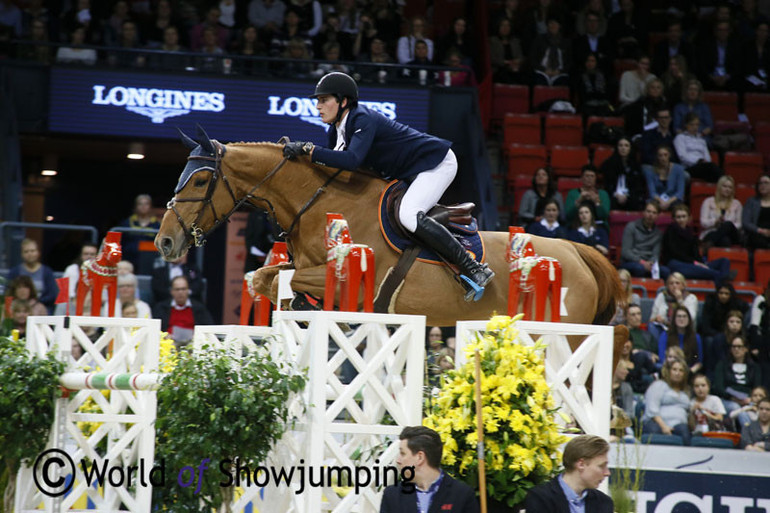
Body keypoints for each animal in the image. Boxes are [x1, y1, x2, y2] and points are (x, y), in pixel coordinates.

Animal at [154, 130, 624, 330]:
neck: (317, 202)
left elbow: (277, 279)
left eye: (200, 181)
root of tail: (578, 252)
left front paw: (306, 305)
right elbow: (264, 278)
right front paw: (302, 307)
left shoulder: (353, 271)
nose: (164, 241)